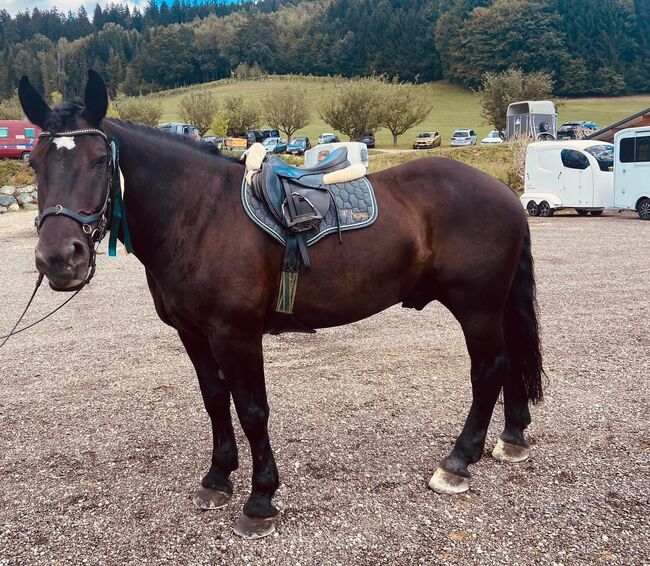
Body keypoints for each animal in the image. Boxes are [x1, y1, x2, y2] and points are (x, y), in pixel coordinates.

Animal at [17, 72, 540, 540]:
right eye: (34, 161)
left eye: (98, 160)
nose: (59, 258)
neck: (198, 214)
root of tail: (504, 193)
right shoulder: (193, 334)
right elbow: (214, 400)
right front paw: (218, 478)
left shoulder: (236, 335)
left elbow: (252, 410)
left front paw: (260, 500)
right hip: (493, 308)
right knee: (510, 362)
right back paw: (511, 439)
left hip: (477, 307)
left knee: (489, 369)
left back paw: (458, 461)